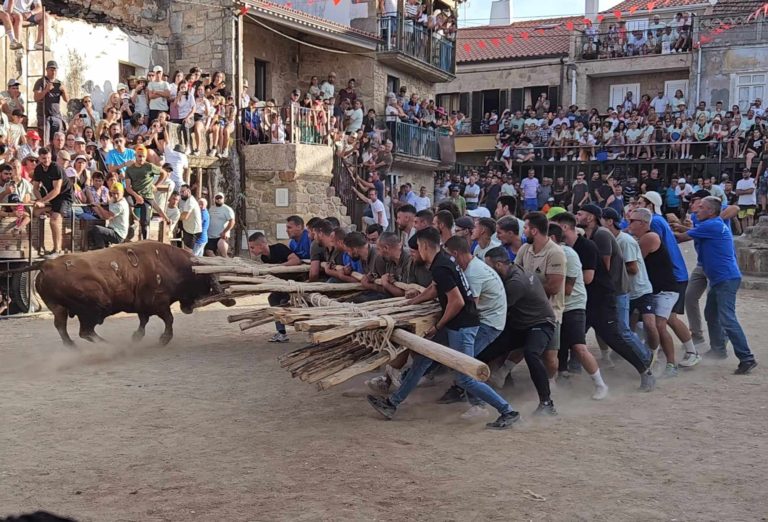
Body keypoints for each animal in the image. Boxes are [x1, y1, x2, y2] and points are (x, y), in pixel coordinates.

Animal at [35, 241, 234, 346]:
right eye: (203, 282)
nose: (189, 307)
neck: (169, 263)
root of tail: (46, 265)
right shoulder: (159, 303)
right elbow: (168, 319)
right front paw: (164, 339)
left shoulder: (143, 305)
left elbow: (143, 321)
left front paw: (137, 337)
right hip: (95, 308)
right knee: (85, 331)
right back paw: (107, 345)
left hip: (59, 309)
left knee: (64, 328)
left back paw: (75, 347)